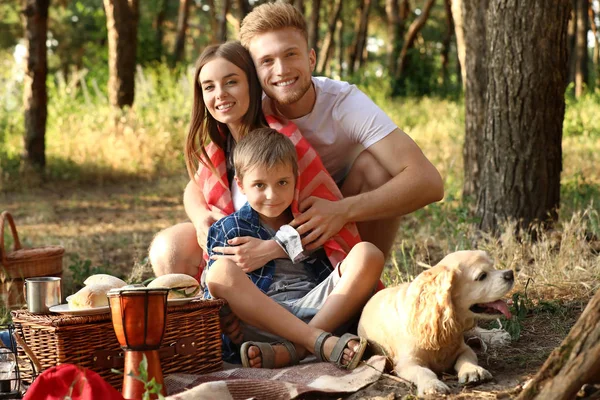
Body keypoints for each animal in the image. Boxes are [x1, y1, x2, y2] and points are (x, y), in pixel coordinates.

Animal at [358, 252, 512, 396]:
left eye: (493, 266)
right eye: (482, 276)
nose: (510, 274)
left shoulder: (463, 348)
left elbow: (467, 358)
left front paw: (473, 371)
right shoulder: (407, 363)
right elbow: (424, 371)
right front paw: (432, 385)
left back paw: (496, 335)